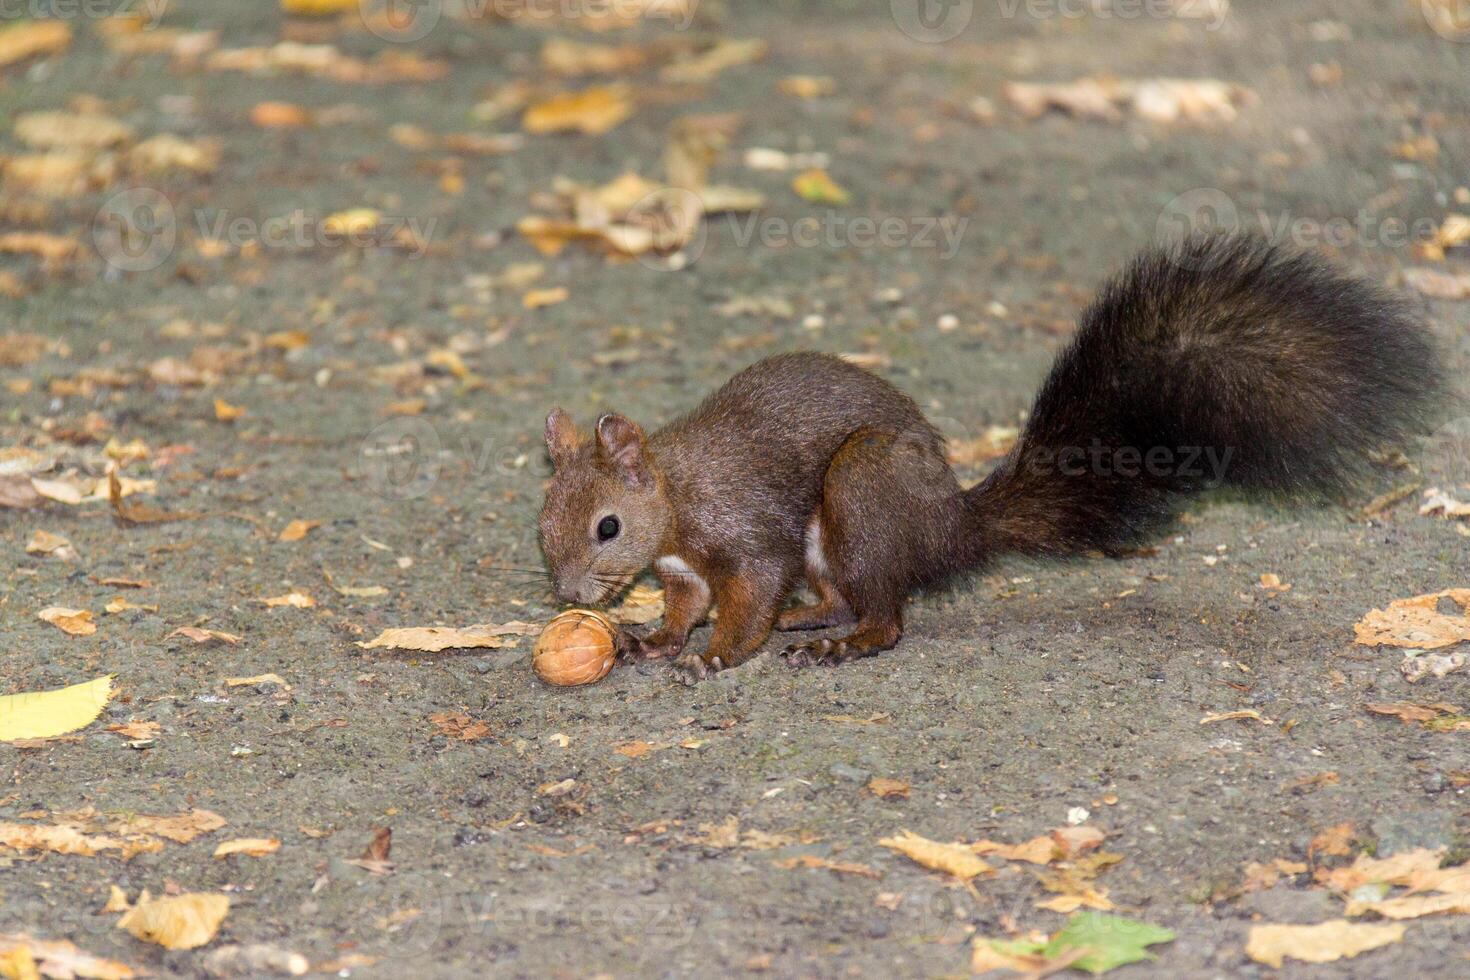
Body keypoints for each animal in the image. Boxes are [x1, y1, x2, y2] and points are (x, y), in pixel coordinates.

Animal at [538, 233, 1434, 687]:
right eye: (543, 525)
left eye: (607, 526)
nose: (568, 596)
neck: (676, 499)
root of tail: (953, 527)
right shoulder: (683, 569)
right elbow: (685, 607)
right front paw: (653, 641)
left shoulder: (746, 534)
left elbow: (749, 597)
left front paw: (716, 655)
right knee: (846, 597)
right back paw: (815, 620)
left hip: (861, 490)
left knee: (886, 616)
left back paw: (841, 644)